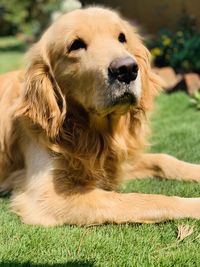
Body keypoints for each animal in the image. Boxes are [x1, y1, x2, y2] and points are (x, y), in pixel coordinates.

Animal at [0, 6, 200, 226]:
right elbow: (143, 200)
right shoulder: (48, 196)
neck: (86, 130)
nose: (127, 69)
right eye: (76, 45)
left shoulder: (115, 163)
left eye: (122, 37)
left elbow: (163, 159)